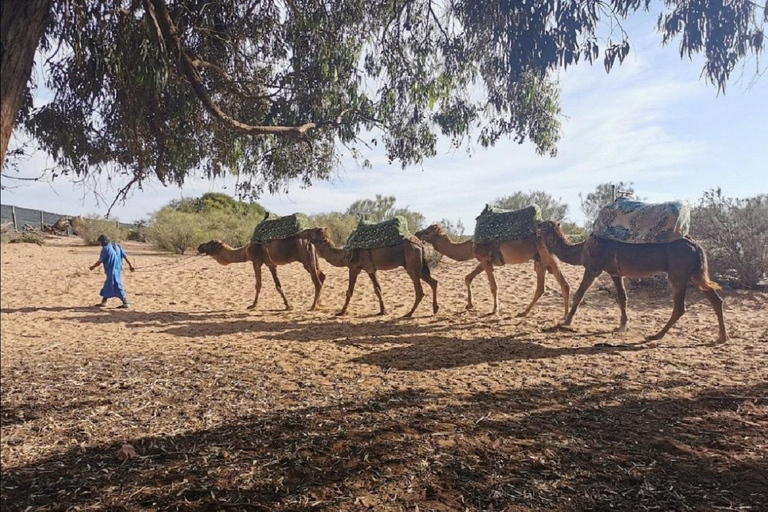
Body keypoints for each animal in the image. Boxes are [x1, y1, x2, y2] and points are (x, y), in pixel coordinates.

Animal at [196, 237, 326, 312]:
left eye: (210, 243)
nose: (199, 246)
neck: (246, 251)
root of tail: (310, 242)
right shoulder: (271, 264)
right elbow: (278, 285)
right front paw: (288, 305)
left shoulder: (256, 262)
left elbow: (258, 285)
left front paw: (253, 305)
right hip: (313, 258)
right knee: (322, 276)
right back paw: (319, 303)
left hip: (306, 258)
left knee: (317, 281)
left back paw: (313, 307)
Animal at [300, 227, 438, 316]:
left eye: (312, 232)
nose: (302, 232)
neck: (344, 254)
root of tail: (420, 243)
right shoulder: (370, 269)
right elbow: (377, 289)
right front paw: (383, 311)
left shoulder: (354, 268)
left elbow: (349, 292)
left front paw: (341, 312)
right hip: (419, 266)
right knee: (433, 282)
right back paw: (435, 309)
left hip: (412, 265)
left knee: (419, 291)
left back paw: (409, 313)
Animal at [414, 225, 568, 320]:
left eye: (428, 230)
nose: (417, 233)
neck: (470, 245)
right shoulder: (485, 261)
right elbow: (468, 277)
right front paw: (469, 305)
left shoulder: (485, 260)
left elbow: (493, 286)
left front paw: (494, 310)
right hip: (541, 261)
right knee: (543, 288)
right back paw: (524, 312)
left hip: (548, 257)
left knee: (564, 285)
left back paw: (564, 318)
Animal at [536, 220, 728, 344]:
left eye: (542, 225)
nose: (533, 227)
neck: (581, 249)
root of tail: (697, 246)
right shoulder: (615, 272)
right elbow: (622, 298)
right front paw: (622, 326)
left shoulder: (593, 268)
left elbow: (579, 294)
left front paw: (566, 322)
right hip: (694, 273)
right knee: (715, 299)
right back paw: (721, 337)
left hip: (678, 273)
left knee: (680, 306)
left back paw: (656, 336)